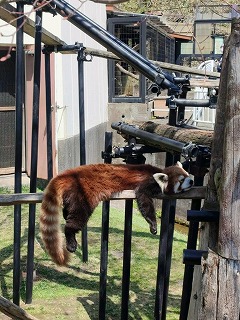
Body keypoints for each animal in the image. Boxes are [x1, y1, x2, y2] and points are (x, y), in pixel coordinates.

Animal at [39, 162, 193, 264]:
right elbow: (144, 200)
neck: (157, 173)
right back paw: (71, 240)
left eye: (187, 174)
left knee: (69, 210)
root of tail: (68, 174)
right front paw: (153, 225)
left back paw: (65, 214)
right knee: (76, 219)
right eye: (181, 180)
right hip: (82, 194)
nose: (191, 180)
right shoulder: (147, 183)